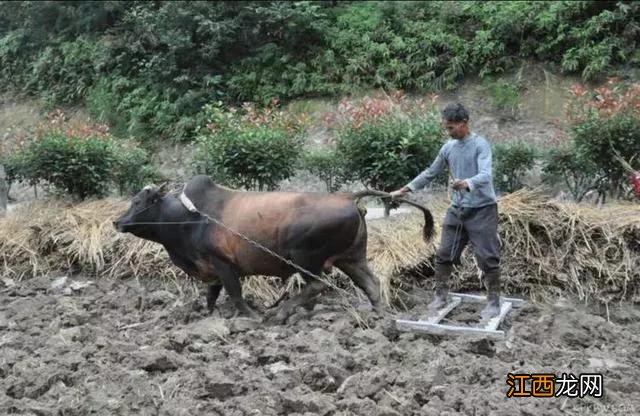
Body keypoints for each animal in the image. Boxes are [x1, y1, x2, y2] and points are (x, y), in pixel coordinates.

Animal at [115, 175, 436, 322]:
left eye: (138, 202)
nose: (118, 222)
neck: (191, 217)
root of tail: (347, 197)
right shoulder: (212, 268)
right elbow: (211, 295)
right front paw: (205, 315)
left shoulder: (224, 264)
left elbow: (235, 294)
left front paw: (253, 316)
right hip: (351, 258)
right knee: (371, 283)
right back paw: (380, 316)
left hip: (305, 258)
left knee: (316, 286)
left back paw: (281, 312)